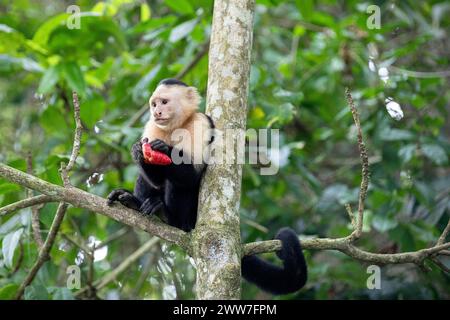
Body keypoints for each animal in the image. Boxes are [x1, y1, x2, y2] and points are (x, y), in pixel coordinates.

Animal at [107, 79, 308, 296]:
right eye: (154, 104)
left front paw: (165, 150)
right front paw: (138, 152)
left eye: (164, 102)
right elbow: (155, 180)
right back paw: (135, 203)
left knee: (179, 187)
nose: (156, 112)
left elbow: (192, 177)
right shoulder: (152, 127)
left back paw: (171, 218)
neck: (176, 127)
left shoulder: (199, 123)